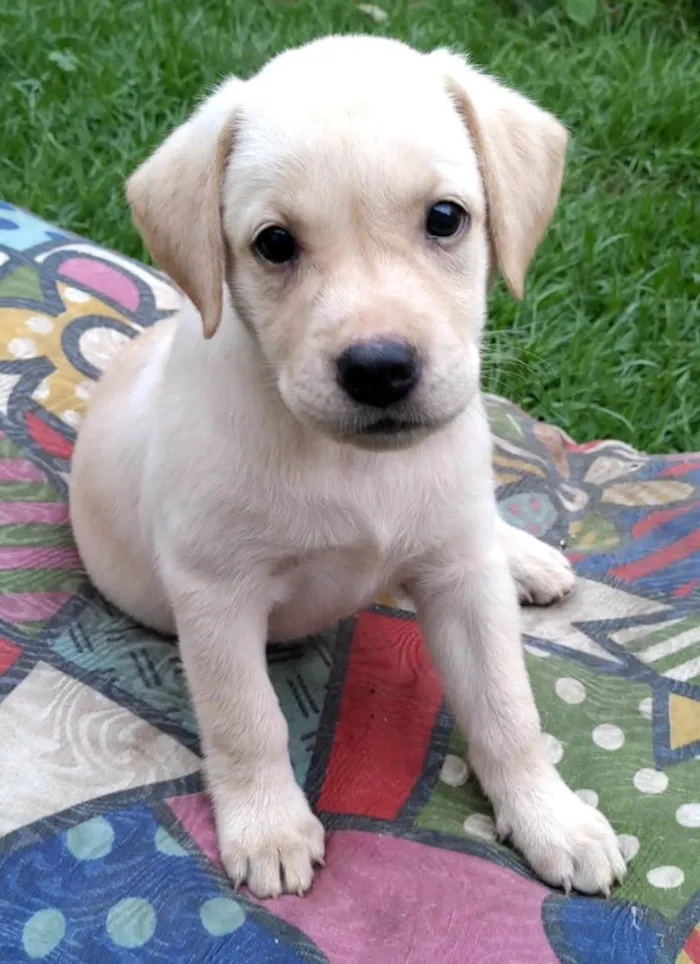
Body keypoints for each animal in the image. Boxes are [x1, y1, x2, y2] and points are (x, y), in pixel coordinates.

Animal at [71, 34, 628, 900]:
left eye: (445, 218)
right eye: (274, 243)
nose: (379, 368)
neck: (352, 466)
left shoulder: (463, 582)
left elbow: (508, 708)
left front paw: (553, 817)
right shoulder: (216, 592)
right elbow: (247, 718)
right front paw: (269, 827)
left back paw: (527, 557)